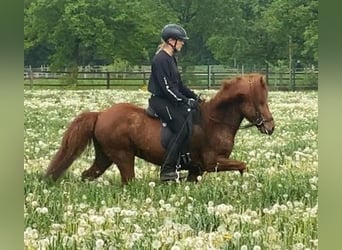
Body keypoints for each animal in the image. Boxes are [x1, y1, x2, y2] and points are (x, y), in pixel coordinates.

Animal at [44, 72, 276, 184]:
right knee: (127, 181)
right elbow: (243, 165)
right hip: (123, 155)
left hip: (105, 156)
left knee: (88, 174)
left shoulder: (196, 170)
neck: (215, 122)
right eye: (260, 101)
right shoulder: (212, 163)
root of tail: (100, 114)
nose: (270, 127)